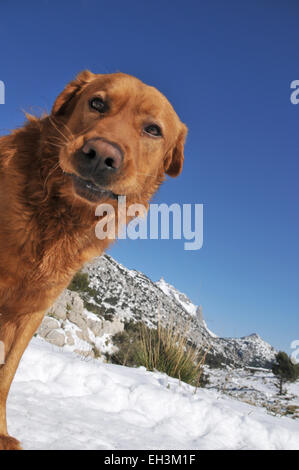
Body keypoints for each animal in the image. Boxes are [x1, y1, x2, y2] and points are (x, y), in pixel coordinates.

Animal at [0, 69, 188, 448]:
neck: (59, 215)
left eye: (153, 130)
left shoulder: (31, 310)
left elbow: (6, 373)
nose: (101, 154)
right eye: (97, 103)